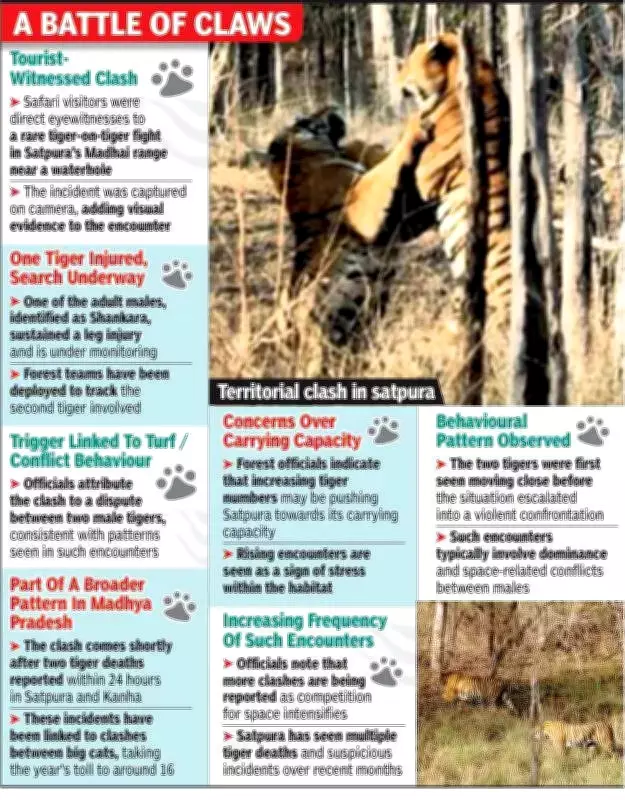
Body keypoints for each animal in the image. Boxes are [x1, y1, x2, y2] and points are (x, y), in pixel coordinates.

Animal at [264, 106, 437, 348]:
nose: (332, 107)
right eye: (305, 119)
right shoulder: (364, 206)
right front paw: (414, 124)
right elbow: (389, 167)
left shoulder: (404, 220)